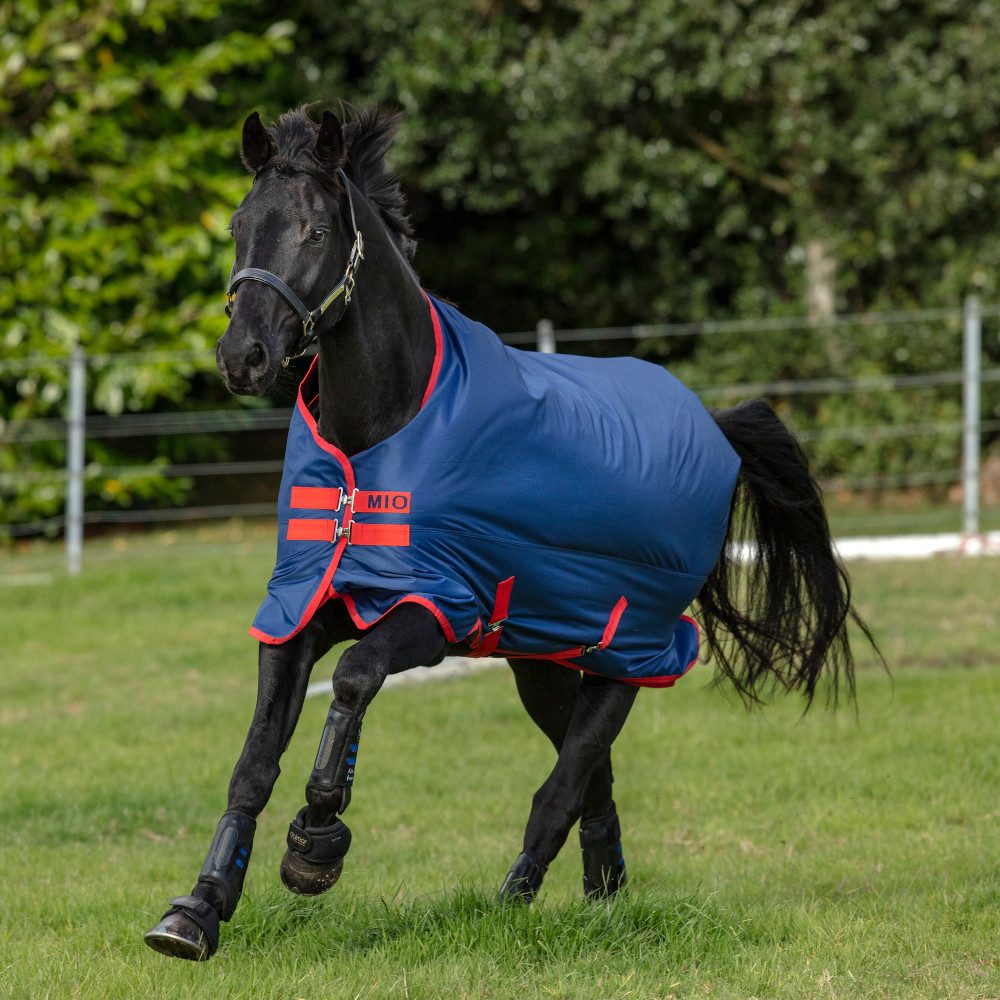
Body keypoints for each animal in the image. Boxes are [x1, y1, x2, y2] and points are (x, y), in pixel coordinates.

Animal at [145, 105, 878, 961]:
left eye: (315, 229)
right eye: (239, 226)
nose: (244, 357)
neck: (382, 433)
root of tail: (716, 428)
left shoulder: (434, 610)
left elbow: (355, 679)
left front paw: (314, 848)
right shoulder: (301, 607)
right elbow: (254, 760)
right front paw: (197, 910)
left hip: (632, 652)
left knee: (564, 783)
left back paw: (514, 901)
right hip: (544, 658)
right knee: (592, 773)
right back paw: (604, 893)